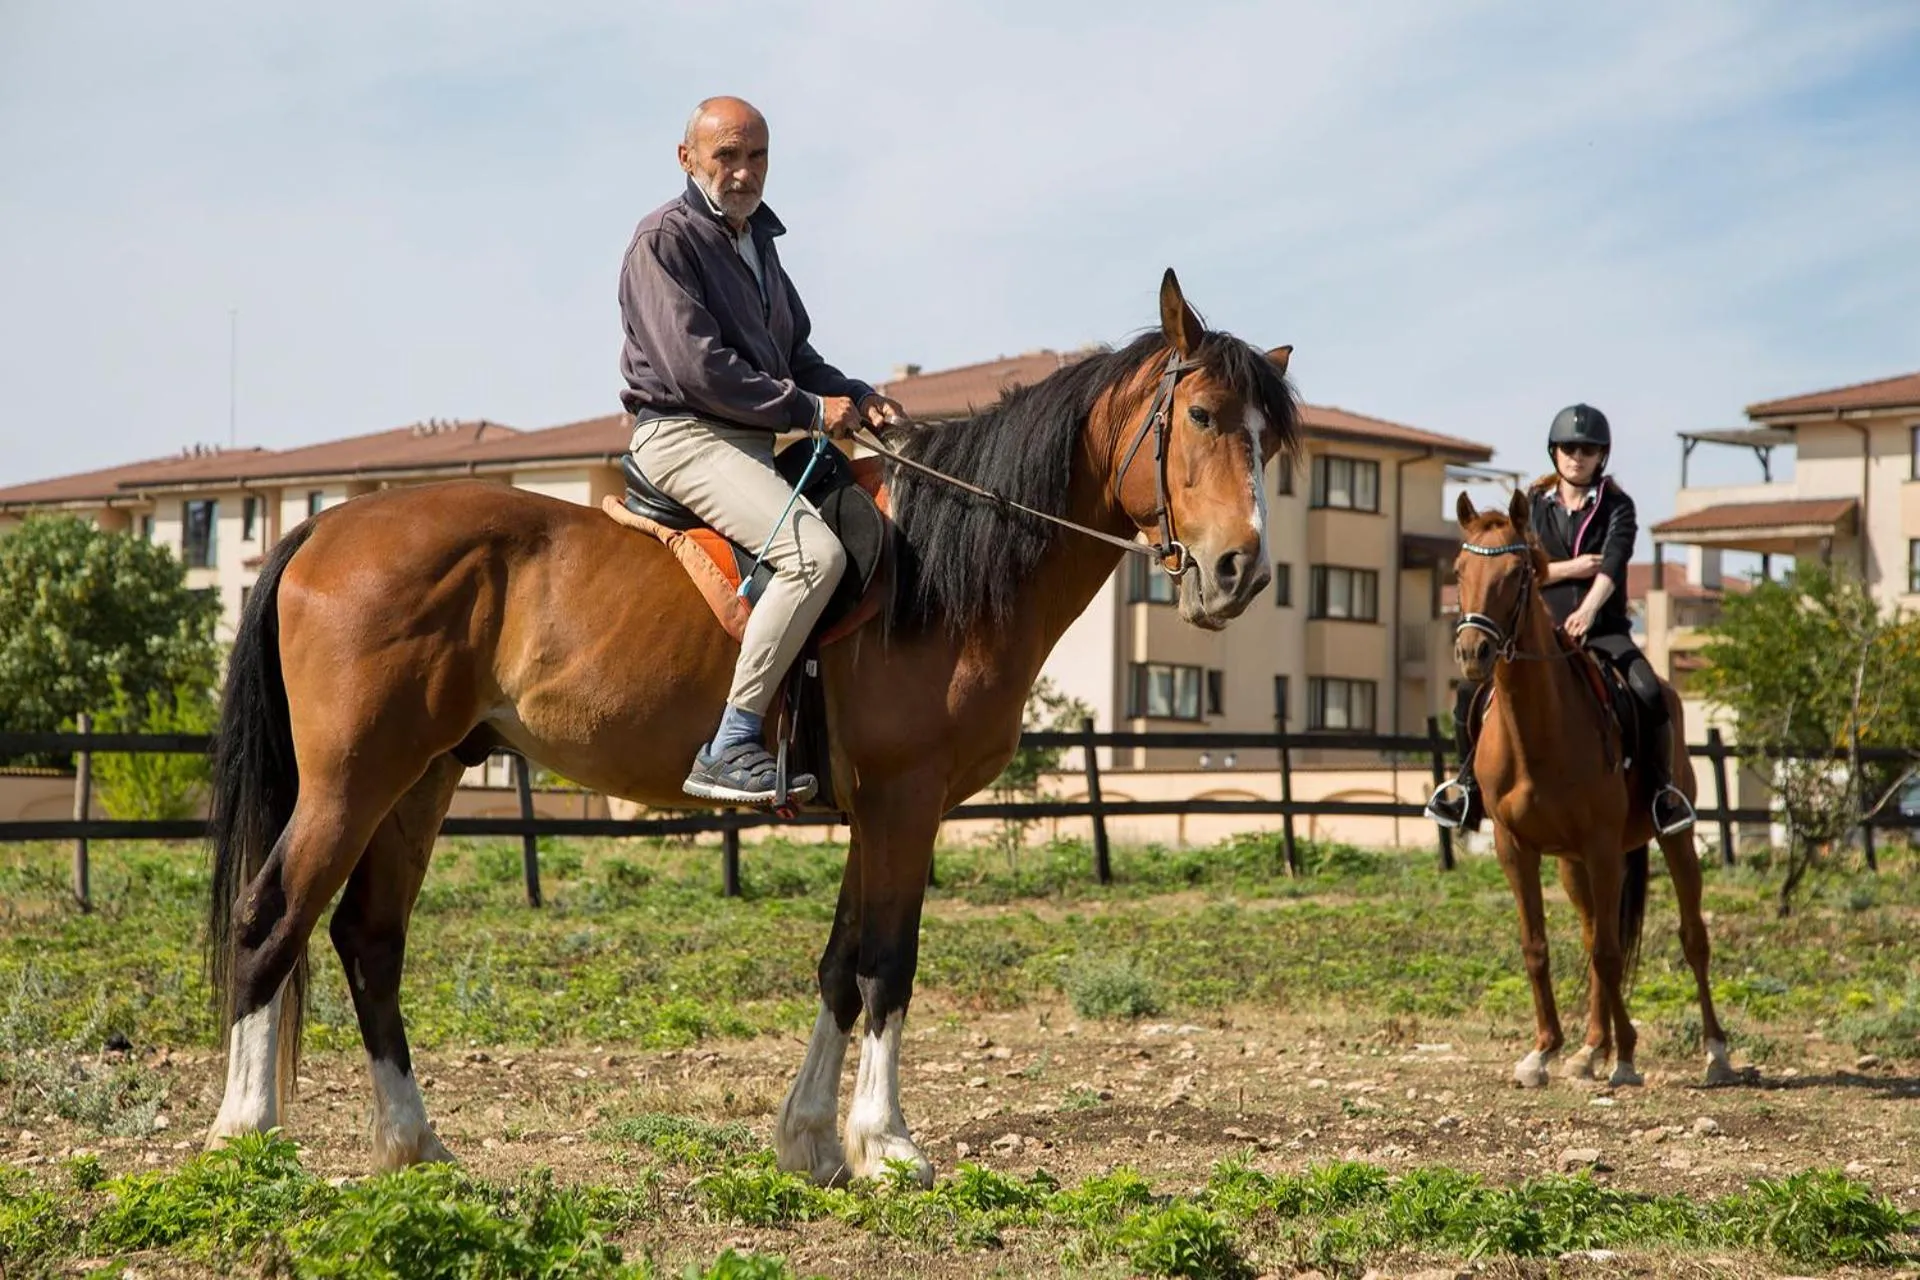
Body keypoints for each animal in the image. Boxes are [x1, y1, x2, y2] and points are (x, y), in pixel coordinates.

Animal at [201, 268, 1301, 1184]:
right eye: (1203, 415)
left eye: (1273, 444)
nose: (1240, 571)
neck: (941, 565)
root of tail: (324, 524)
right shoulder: (906, 800)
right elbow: (887, 962)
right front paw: (889, 1144)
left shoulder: (875, 809)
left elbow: (840, 968)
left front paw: (812, 1139)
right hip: (353, 779)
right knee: (271, 918)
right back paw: (246, 1135)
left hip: (422, 779)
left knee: (368, 939)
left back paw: (414, 1143)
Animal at [1451, 490, 1735, 1089]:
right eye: (1460, 570)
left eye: (1516, 574)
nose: (1473, 654)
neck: (1538, 732)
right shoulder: (1516, 848)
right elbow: (1540, 947)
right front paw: (1545, 1052)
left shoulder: (1603, 846)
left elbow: (1608, 952)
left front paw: (1625, 1057)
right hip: (1571, 862)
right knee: (1590, 934)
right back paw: (1589, 1049)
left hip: (1671, 839)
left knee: (1691, 938)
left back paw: (1715, 1053)